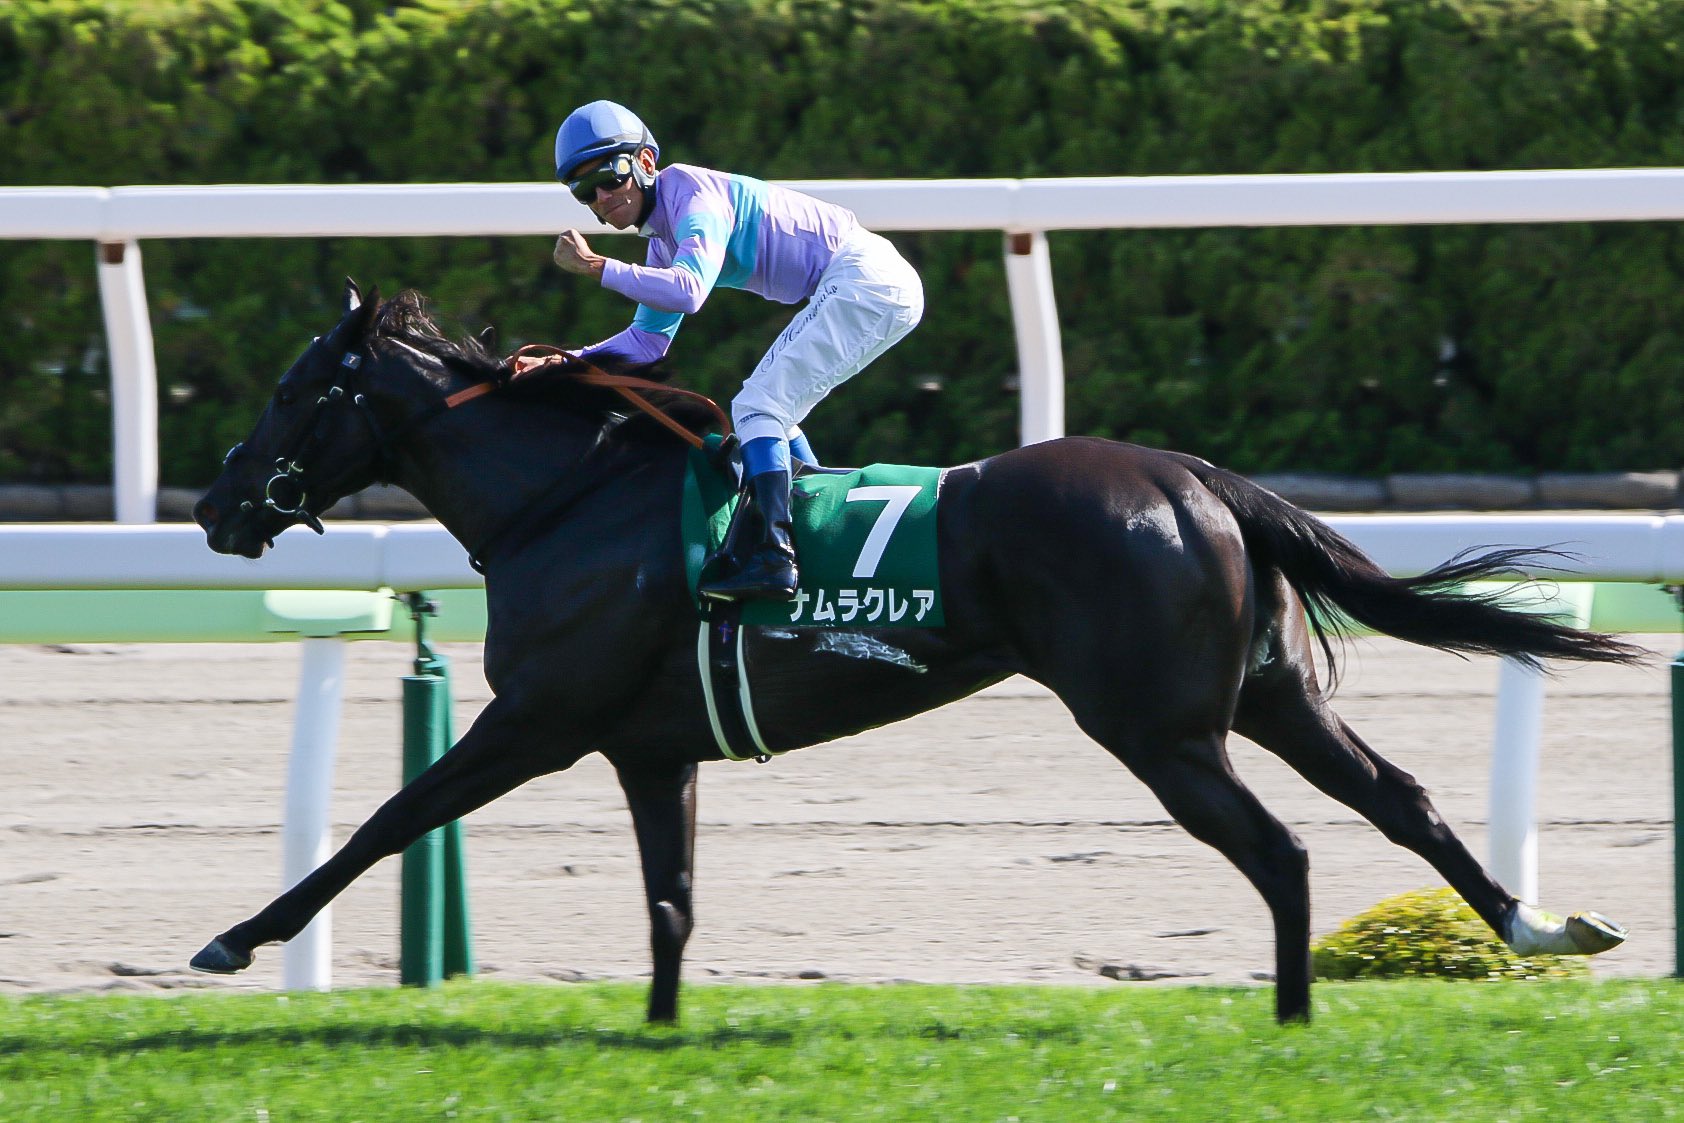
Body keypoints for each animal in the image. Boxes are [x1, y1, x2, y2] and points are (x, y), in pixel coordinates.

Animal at [191, 282, 1636, 1030]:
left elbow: (386, 819)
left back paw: (1290, 1017)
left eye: (291, 390)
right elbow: (669, 901)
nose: (216, 504)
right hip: (1263, 695)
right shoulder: (651, 746)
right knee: (1402, 799)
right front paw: (660, 1030)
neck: (569, 500)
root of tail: (1197, 476)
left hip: (1157, 727)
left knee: (1280, 850)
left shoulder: (539, 718)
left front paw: (235, 939)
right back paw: (1544, 922)